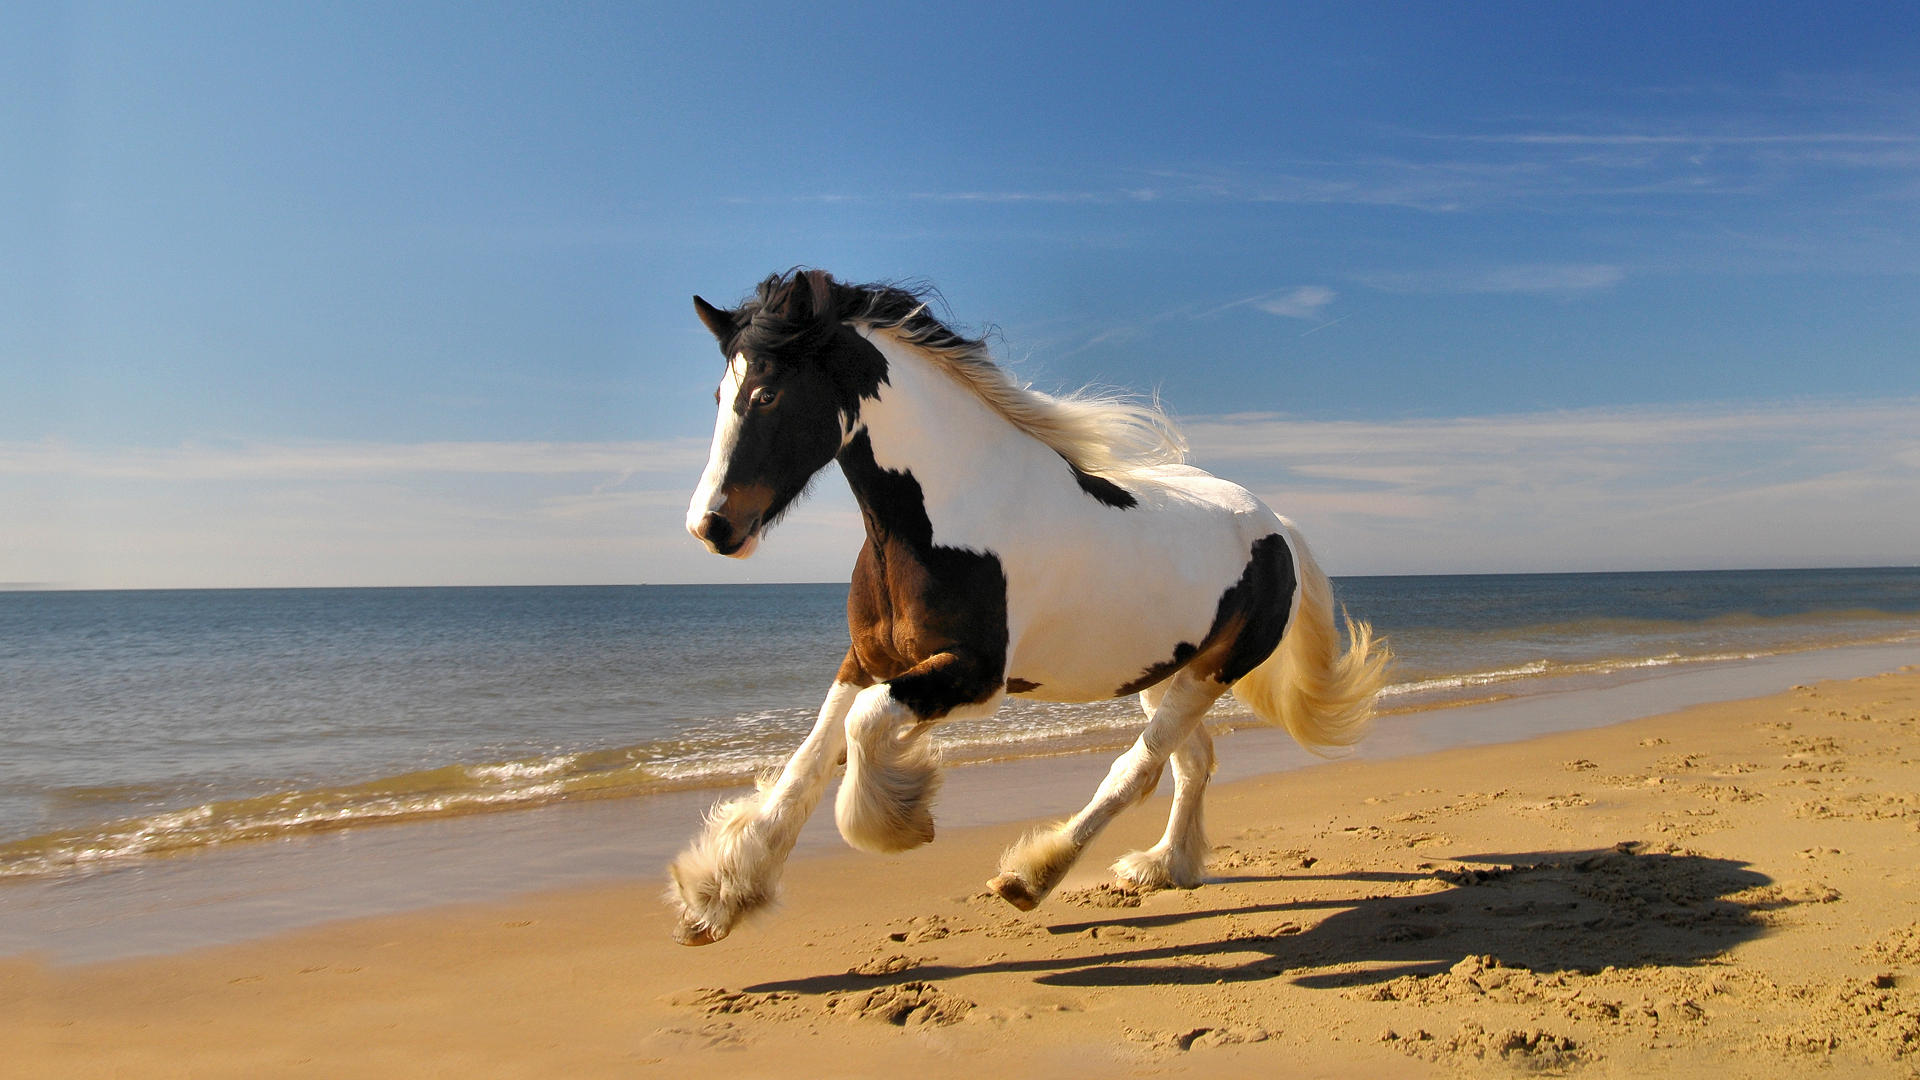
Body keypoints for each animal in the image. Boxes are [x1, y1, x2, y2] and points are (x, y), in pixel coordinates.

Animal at [668, 267, 1390, 941]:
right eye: (720, 394)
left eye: (768, 393)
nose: (710, 526)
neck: (950, 508)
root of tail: (1276, 525)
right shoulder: (867, 659)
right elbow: (807, 762)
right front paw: (721, 893)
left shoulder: (974, 675)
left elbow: (865, 727)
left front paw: (900, 820)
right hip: (1165, 672)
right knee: (1192, 763)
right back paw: (1165, 866)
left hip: (1212, 672)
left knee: (1138, 769)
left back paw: (1032, 875)